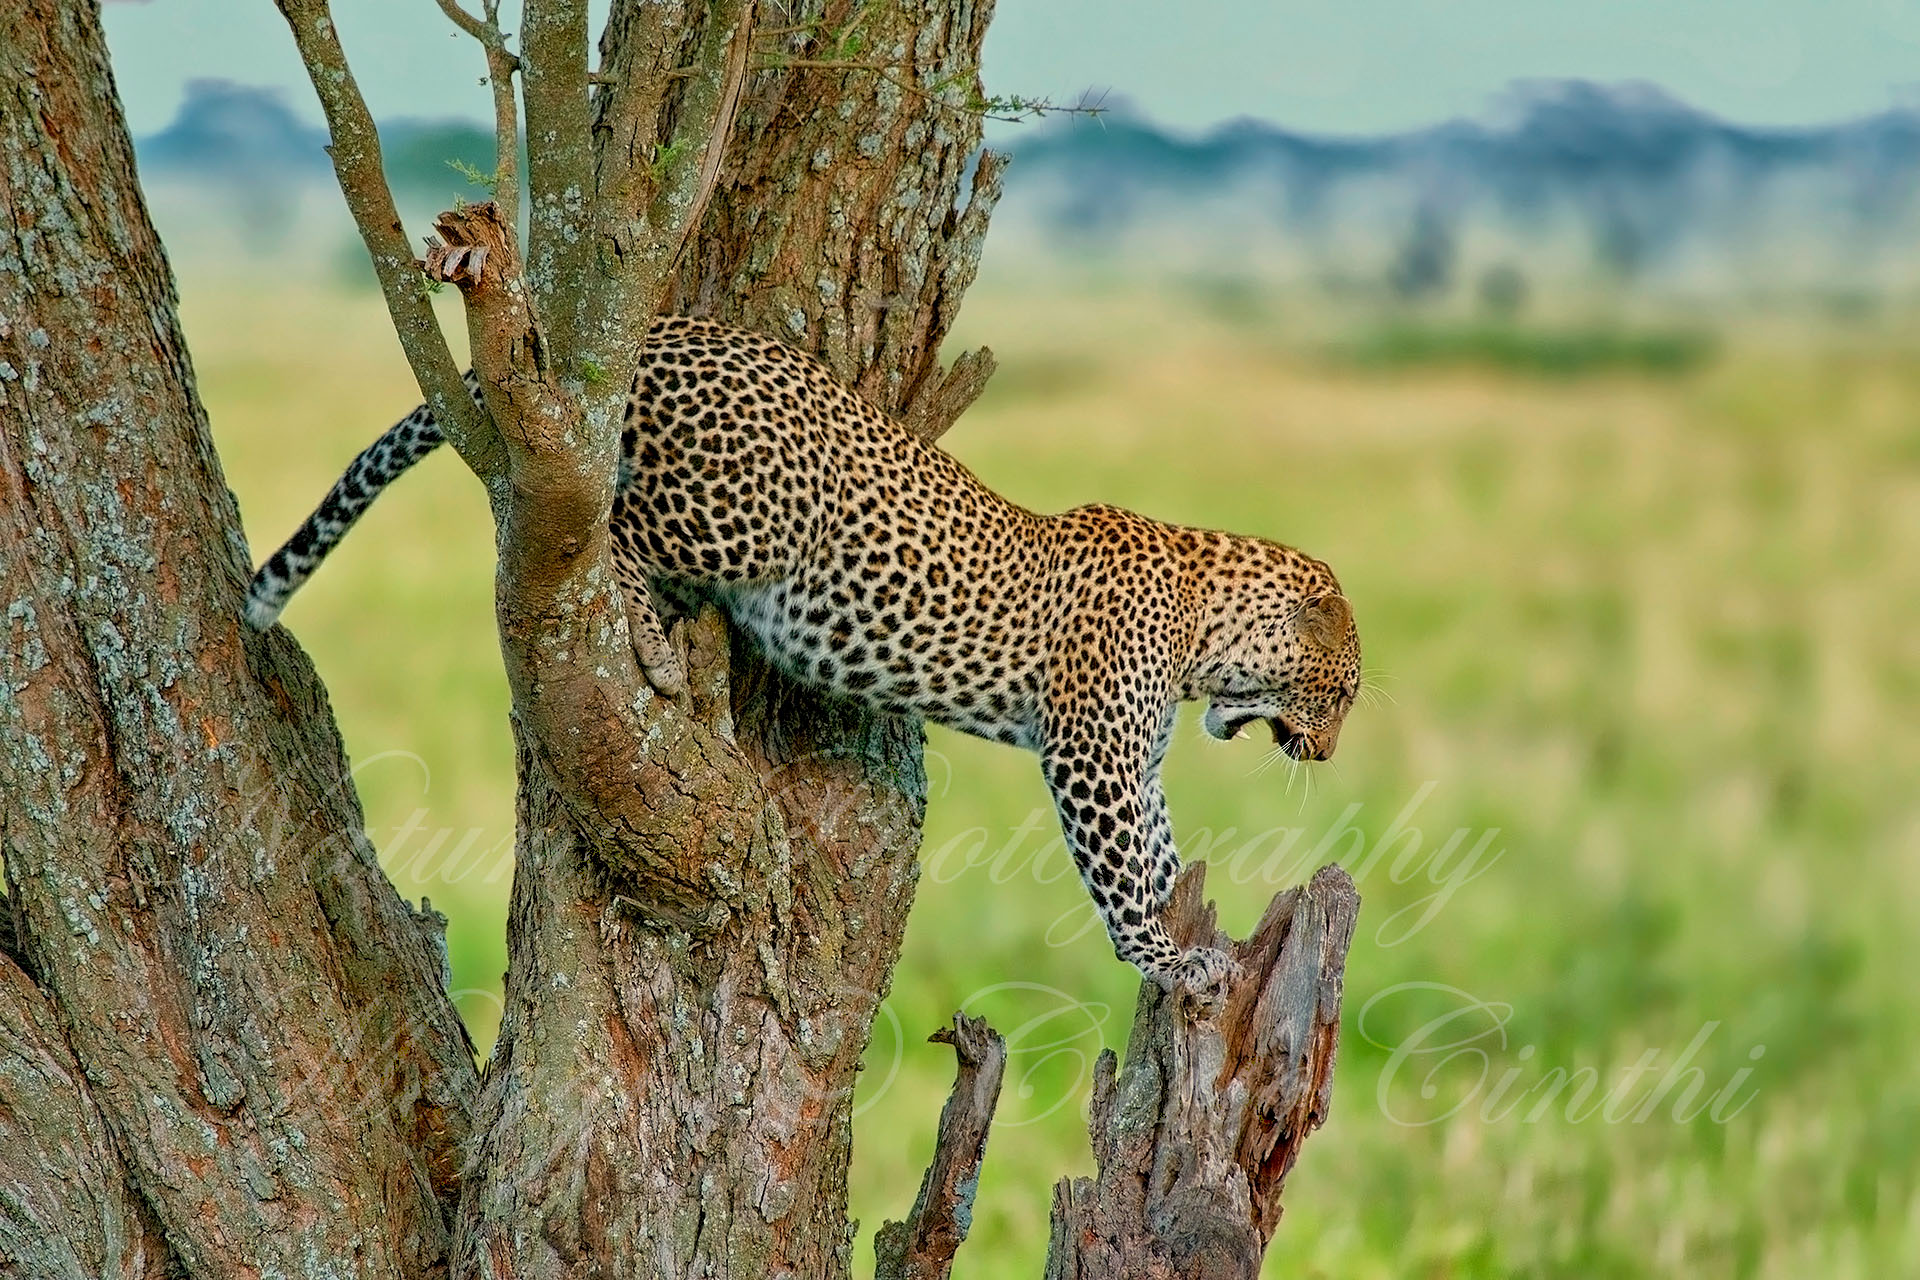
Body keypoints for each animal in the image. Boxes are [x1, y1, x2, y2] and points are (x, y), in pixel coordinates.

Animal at [245, 316, 1362, 995]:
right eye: (1346, 690)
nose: (1328, 753)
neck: (1204, 628)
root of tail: (663, 325)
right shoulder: (1091, 758)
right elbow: (1122, 869)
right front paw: (1167, 961)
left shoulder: (1131, 760)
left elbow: (1160, 850)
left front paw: (1187, 924)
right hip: (745, 520)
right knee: (596, 533)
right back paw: (648, 643)